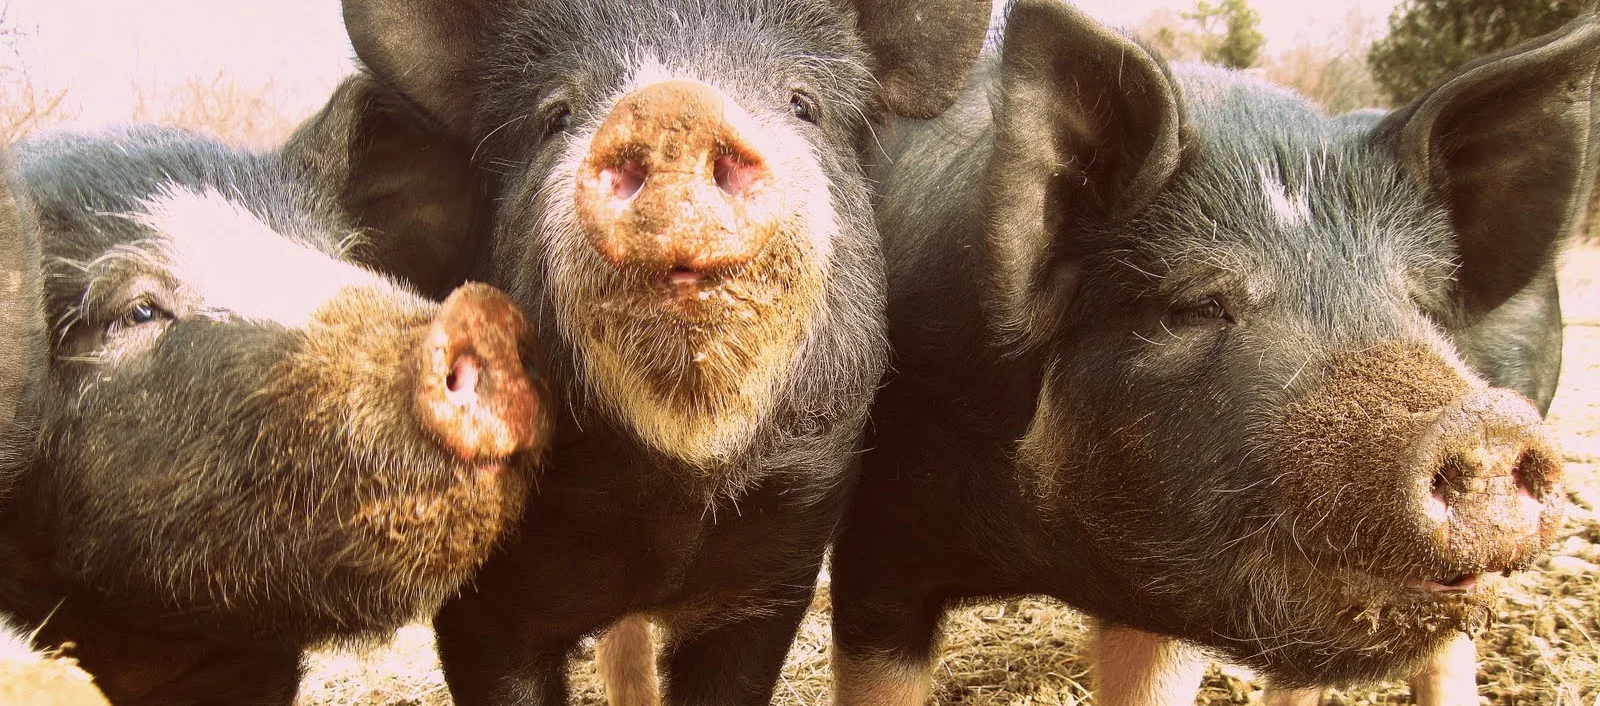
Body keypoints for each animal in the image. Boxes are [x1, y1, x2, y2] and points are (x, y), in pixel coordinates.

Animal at [334, 1, 992, 704]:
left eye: (804, 104)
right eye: (554, 115)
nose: (674, 105)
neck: (672, 505)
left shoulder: (776, 569)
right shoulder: (480, 601)